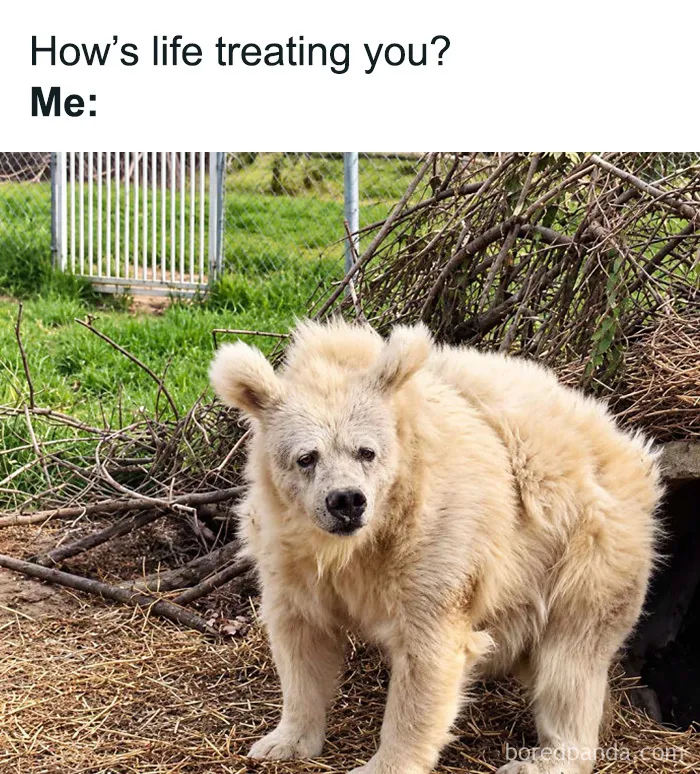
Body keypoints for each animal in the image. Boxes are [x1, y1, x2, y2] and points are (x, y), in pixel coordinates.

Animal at [209, 319, 662, 774]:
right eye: (307, 457)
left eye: (366, 451)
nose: (347, 501)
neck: (365, 540)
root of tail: (629, 446)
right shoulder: (289, 553)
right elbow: (300, 636)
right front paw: (281, 742)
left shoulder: (437, 538)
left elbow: (428, 654)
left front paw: (384, 763)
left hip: (587, 546)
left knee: (571, 659)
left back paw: (544, 758)